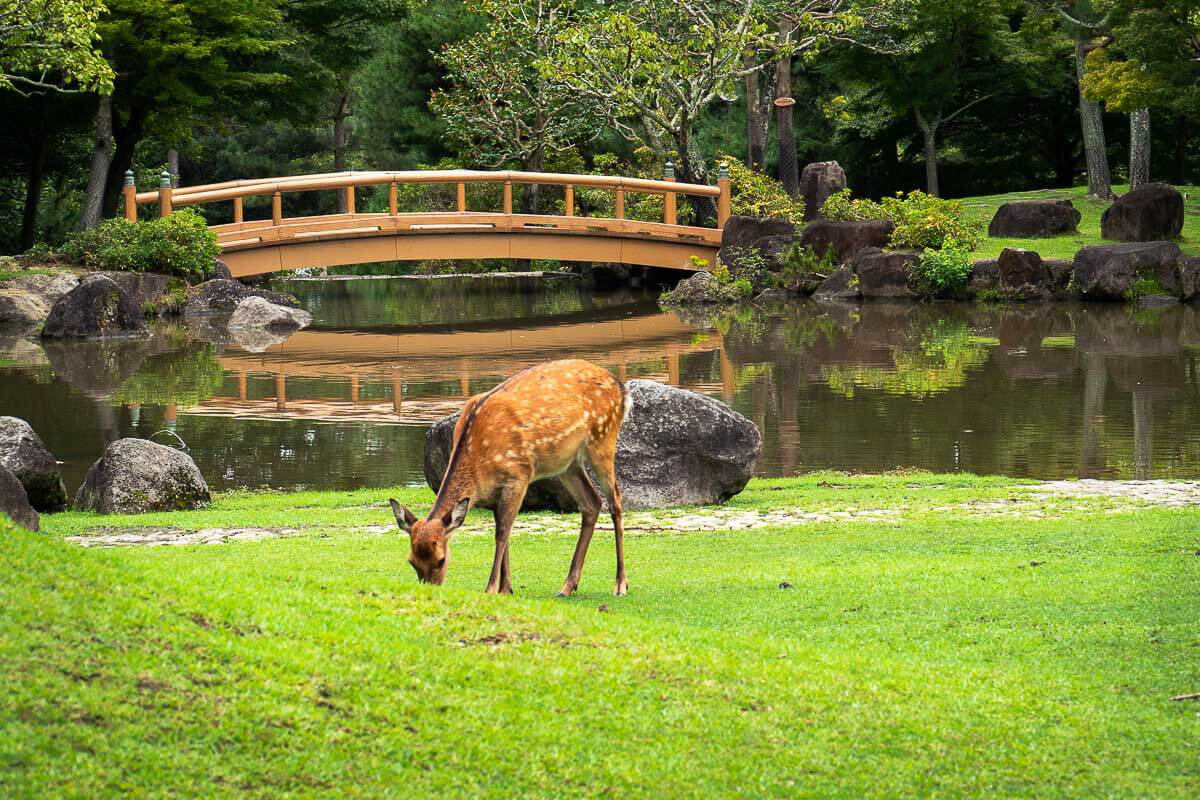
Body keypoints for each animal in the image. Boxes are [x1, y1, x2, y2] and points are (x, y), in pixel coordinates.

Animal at [391, 359, 638, 597]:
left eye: (441, 560)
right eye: (411, 561)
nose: (430, 589)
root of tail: (622, 389)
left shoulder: (518, 475)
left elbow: (502, 533)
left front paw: (492, 588)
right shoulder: (494, 491)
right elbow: (505, 530)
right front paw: (506, 588)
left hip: (603, 438)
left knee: (615, 501)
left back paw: (620, 584)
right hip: (568, 463)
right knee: (591, 503)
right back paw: (568, 586)